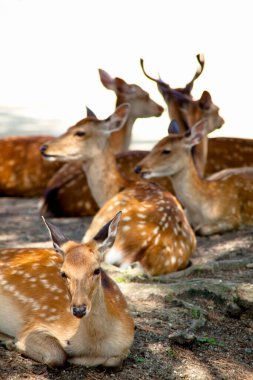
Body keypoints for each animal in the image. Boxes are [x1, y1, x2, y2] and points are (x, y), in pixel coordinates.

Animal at [0, 212, 134, 366]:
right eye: (63, 273)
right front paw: (13, 343)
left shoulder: (125, 346)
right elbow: (57, 356)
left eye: (97, 270)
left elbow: (113, 362)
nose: (79, 309)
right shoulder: (36, 323)